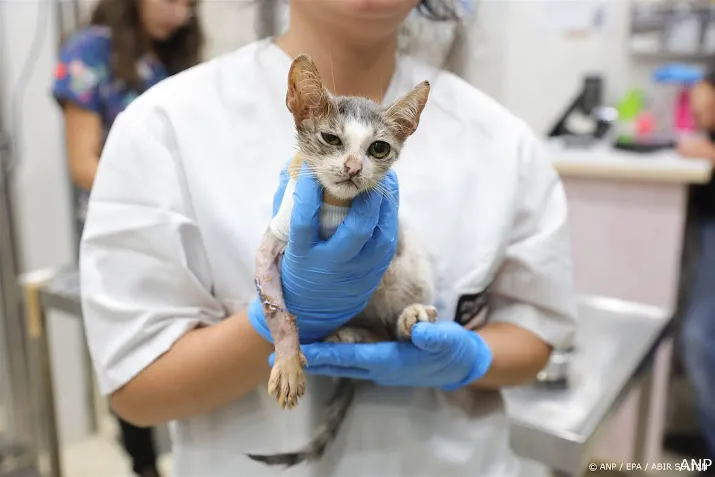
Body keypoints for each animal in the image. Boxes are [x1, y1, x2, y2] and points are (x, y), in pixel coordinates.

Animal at [249, 54, 434, 464]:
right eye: (331, 139)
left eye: (378, 149)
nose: (352, 167)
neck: (335, 210)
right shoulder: (271, 245)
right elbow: (278, 313)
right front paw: (288, 363)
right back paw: (348, 333)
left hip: (408, 265)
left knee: (392, 333)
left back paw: (408, 318)